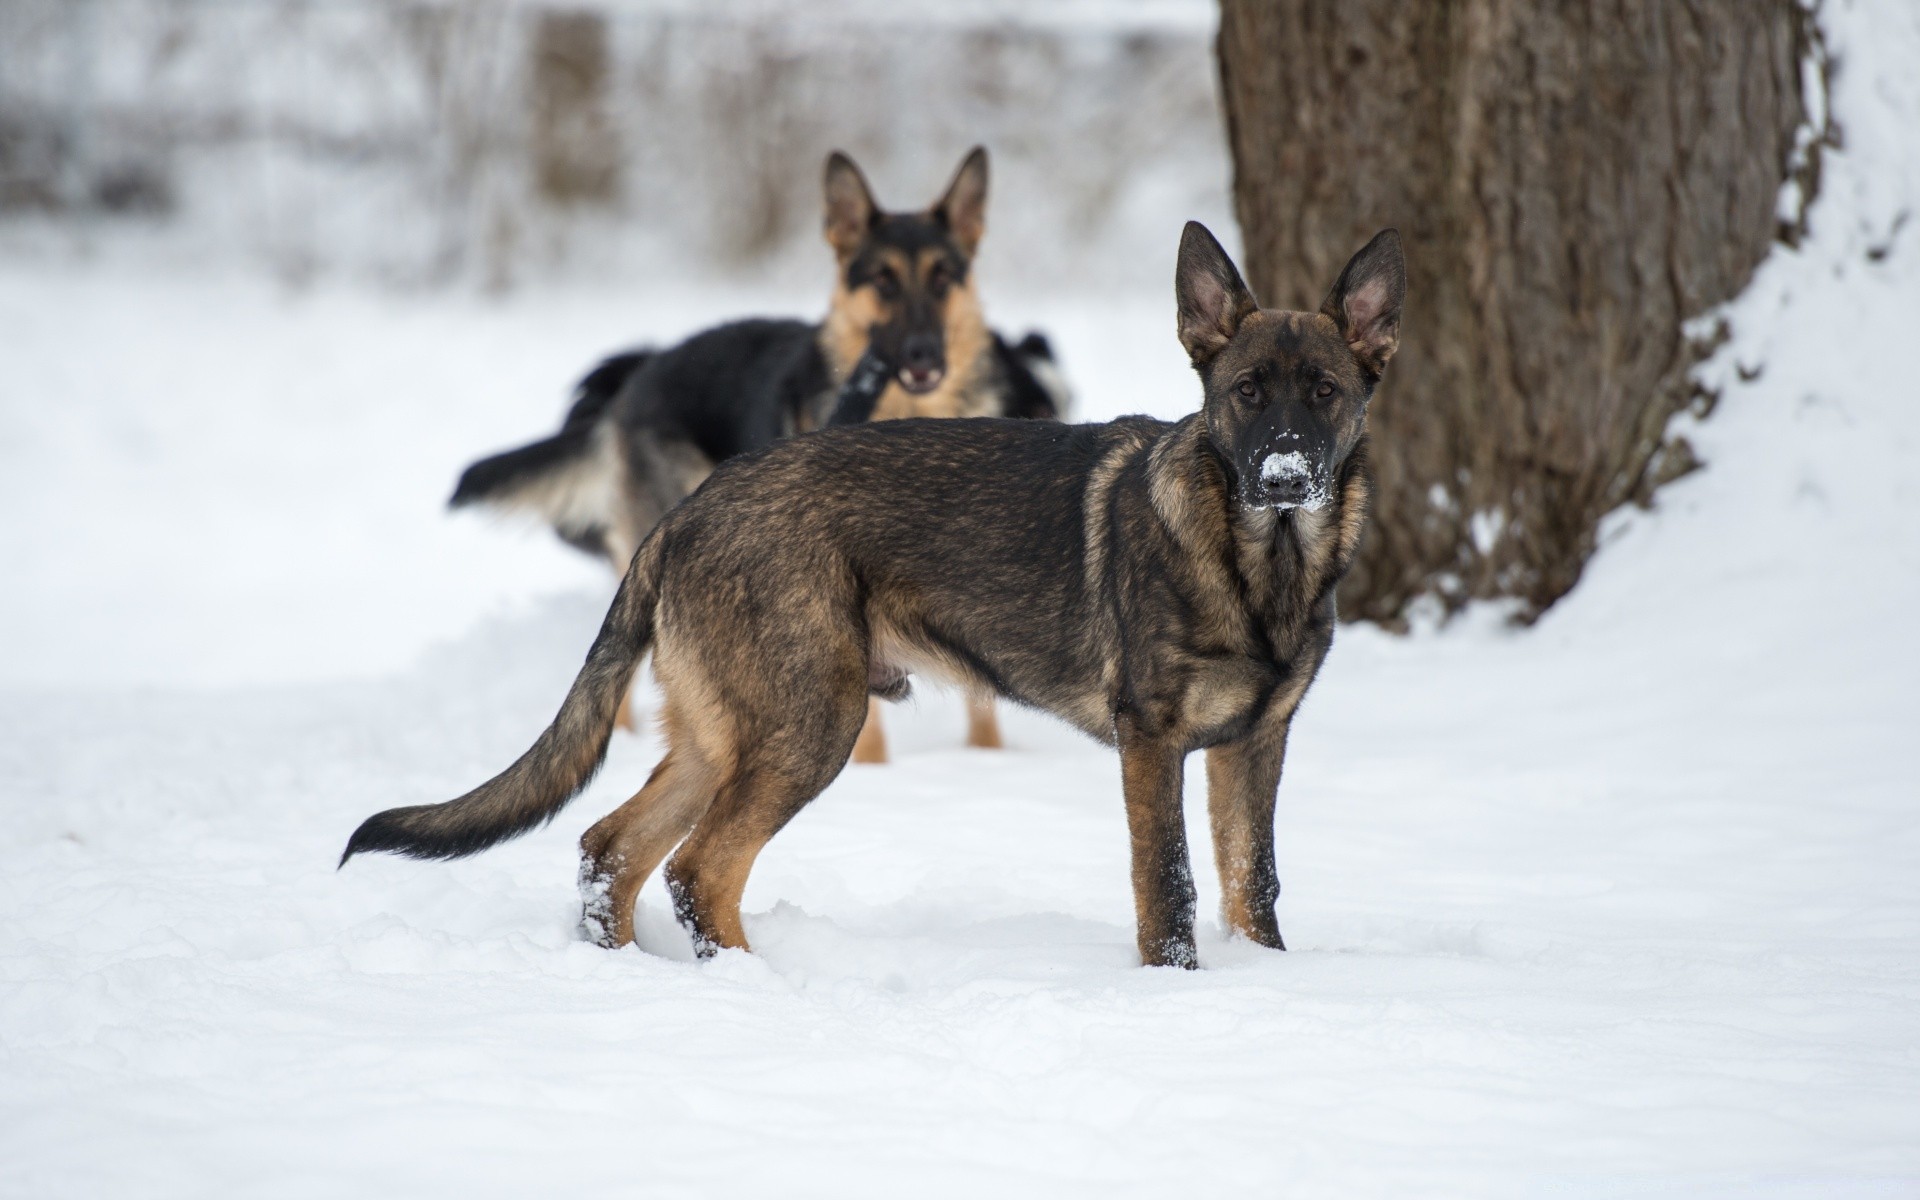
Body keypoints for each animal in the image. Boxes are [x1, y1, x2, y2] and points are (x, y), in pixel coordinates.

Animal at [341, 222, 1397, 975]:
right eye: (1247, 392)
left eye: (1325, 392)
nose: (1285, 476)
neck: (1258, 564)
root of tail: (685, 513)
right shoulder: (1153, 743)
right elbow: (1168, 885)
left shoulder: (1254, 746)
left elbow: (1253, 883)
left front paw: (1269, 982)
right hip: (811, 721)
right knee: (697, 869)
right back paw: (757, 990)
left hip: (729, 733)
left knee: (613, 850)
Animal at [456, 149, 1075, 764]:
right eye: (884, 281)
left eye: (944, 277)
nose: (923, 354)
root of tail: (638, 377)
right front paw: (877, 770)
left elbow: (983, 696)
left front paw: (988, 761)